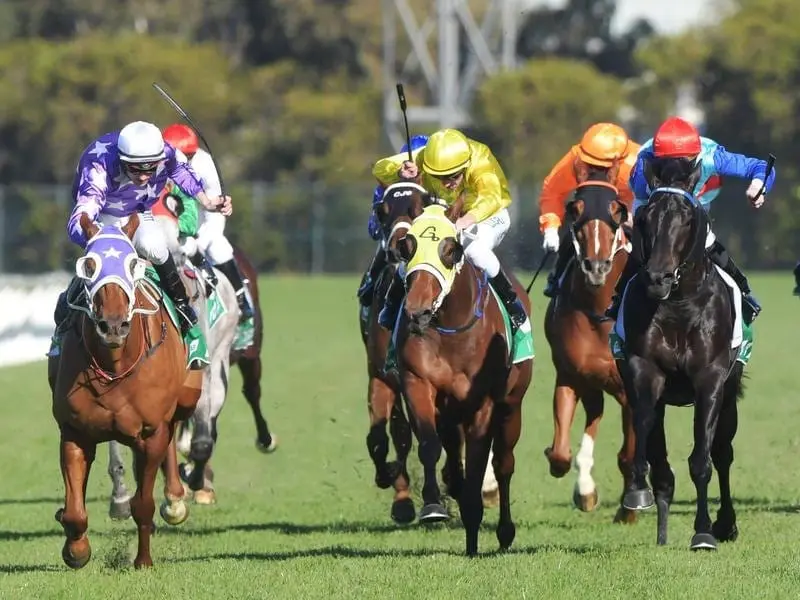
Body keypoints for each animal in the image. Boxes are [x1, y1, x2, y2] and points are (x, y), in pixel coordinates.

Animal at [48, 213, 202, 568]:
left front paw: (142, 561)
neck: (116, 364)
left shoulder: (151, 431)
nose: (113, 325)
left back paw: (175, 501)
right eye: (89, 265)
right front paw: (76, 550)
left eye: (133, 265)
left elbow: (143, 504)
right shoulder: (75, 430)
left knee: (172, 436)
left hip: (185, 399)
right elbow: (75, 510)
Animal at [388, 200, 532, 552]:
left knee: (504, 463)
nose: (417, 312)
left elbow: (481, 458)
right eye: (407, 247)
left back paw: (503, 531)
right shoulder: (418, 383)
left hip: (512, 405)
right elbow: (429, 444)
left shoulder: (484, 402)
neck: (450, 329)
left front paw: (474, 517)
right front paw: (433, 505)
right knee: (453, 451)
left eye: (450, 249)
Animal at [544, 158, 636, 520]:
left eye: (616, 209)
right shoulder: (570, 375)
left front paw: (629, 508)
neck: (600, 311)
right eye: (576, 208)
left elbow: (629, 455)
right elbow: (560, 452)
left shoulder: (630, 387)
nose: (596, 266)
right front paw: (584, 491)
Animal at [620, 157, 744, 552]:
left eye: (687, 217)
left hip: (730, 395)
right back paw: (661, 531)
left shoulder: (711, 378)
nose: (657, 278)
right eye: (645, 216)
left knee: (722, 453)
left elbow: (702, 460)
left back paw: (725, 523)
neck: (678, 304)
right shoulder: (644, 371)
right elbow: (647, 438)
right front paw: (637, 493)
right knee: (663, 465)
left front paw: (704, 531)